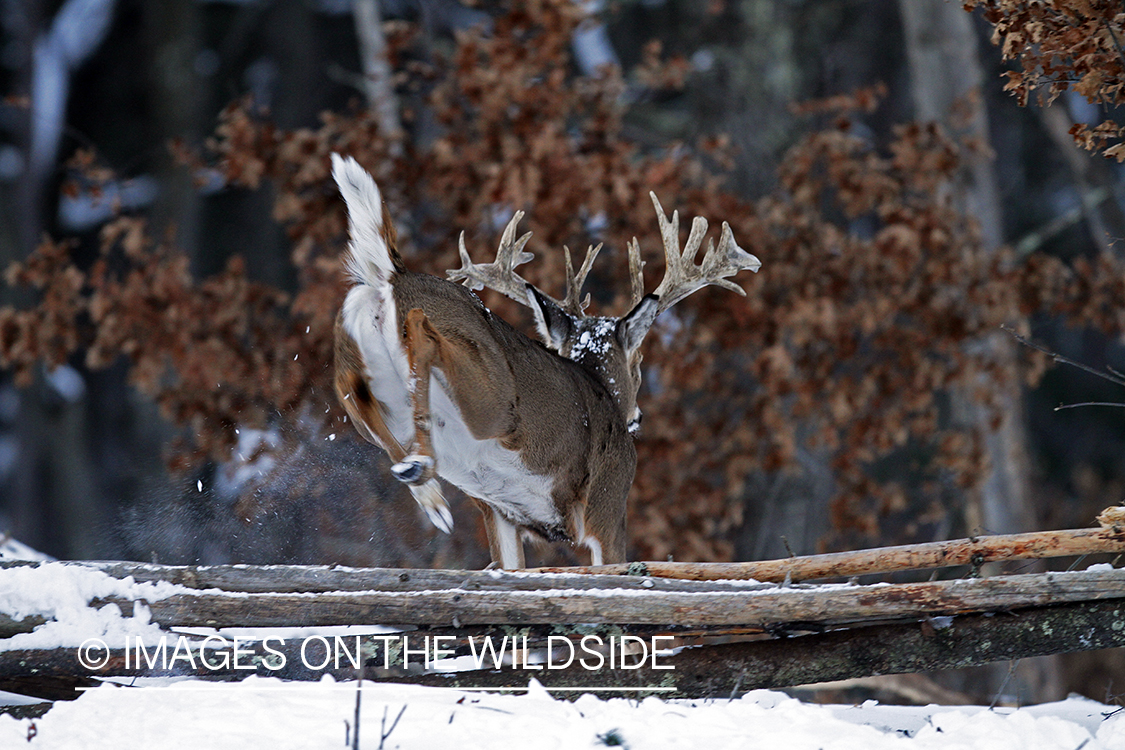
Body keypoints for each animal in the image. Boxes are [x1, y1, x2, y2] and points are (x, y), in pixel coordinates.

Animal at [328, 155, 760, 571]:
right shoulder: (608, 504)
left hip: (353, 344)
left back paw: (424, 486)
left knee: (350, 388)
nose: (637, 415)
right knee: (424, 337)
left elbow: (510, 566)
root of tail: (392, 276)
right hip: (492, 402)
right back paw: (423, 470)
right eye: (637, 362)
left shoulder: (498, 513)